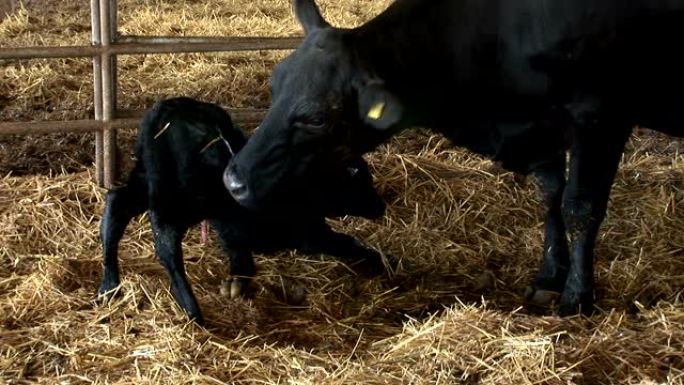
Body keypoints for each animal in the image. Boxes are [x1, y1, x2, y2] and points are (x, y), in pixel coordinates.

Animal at [97, 97, 388, 324]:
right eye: (357, 176)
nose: (380, 205)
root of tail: (170, 108)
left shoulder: (235, 227)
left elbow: (240, 255)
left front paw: (236, 283)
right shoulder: (303, 231)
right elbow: (345, 242)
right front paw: (380, 262)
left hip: (147, 177)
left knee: (117, 203)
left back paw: (109, 282)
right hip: (179, 198)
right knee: (165, 240)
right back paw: (192, 310)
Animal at [227, 0, 684, 316]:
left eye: (316, 118)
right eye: (274, 87)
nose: (233, 180)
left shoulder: (600, 117)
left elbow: (579, 208)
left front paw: (577, 298)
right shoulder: (543, 127)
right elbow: (550, 197)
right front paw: (549, 277)